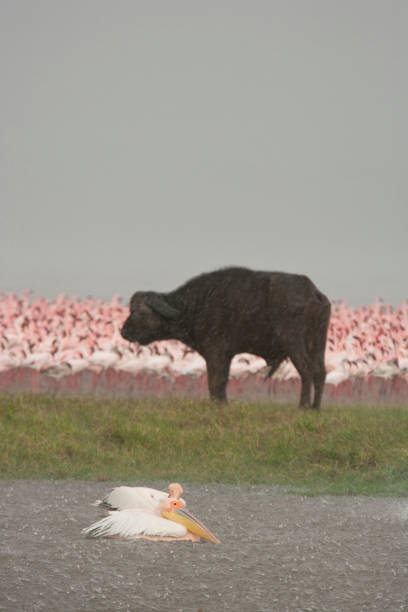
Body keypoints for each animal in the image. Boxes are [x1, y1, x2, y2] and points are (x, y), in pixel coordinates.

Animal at [121, 266, 332, 408]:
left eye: (140, 312)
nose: (124, 332)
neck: (197, 305)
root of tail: (315, 294)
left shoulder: (215, 352)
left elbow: (214, 382)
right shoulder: (226, 355)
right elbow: (221, 382)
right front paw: (222, 404)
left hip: (293, 342)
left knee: (306, 370)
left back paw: (303, 406)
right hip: (318, 342)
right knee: (320, 372)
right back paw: (315, 408)